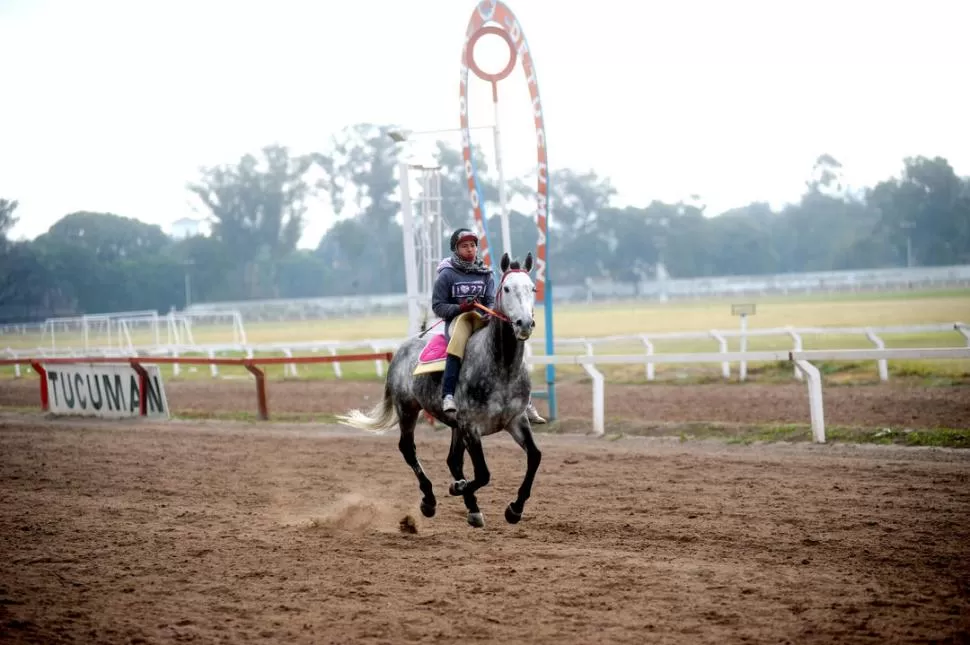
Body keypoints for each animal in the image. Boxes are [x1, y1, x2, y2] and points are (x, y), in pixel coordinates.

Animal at [336, 252, 540, 528]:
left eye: (532, 288)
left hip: (453, 425)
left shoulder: (515, 420)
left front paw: (514, 509)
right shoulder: (470, 426)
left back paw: (472, 509)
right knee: (408, 450)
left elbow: (534, 457)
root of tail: (401, 350)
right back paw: (430, 500)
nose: (525, 323)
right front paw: (457, 488)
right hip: (408, 409)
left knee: (453, 460)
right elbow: (483, 474)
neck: (501, 367)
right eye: (507, 288)